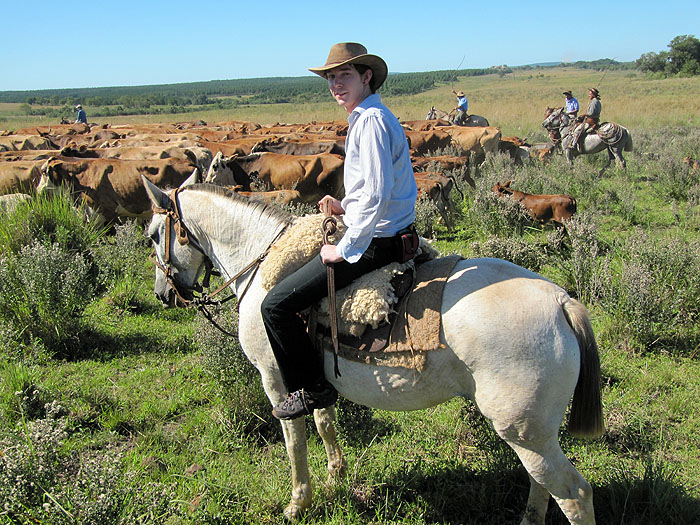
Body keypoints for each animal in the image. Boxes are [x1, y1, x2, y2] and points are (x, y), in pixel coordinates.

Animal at [144, 174, 608, 520]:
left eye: (151, 235)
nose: (164, 294)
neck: (261, 263)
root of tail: (561, 301)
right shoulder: (314, 378)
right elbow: (324, 421)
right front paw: (335, 477)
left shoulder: (276, 380)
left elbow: (295, 439)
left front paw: (299, 502)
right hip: (534, 436)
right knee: (541, 486)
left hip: (525, 433)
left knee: (574, 495)